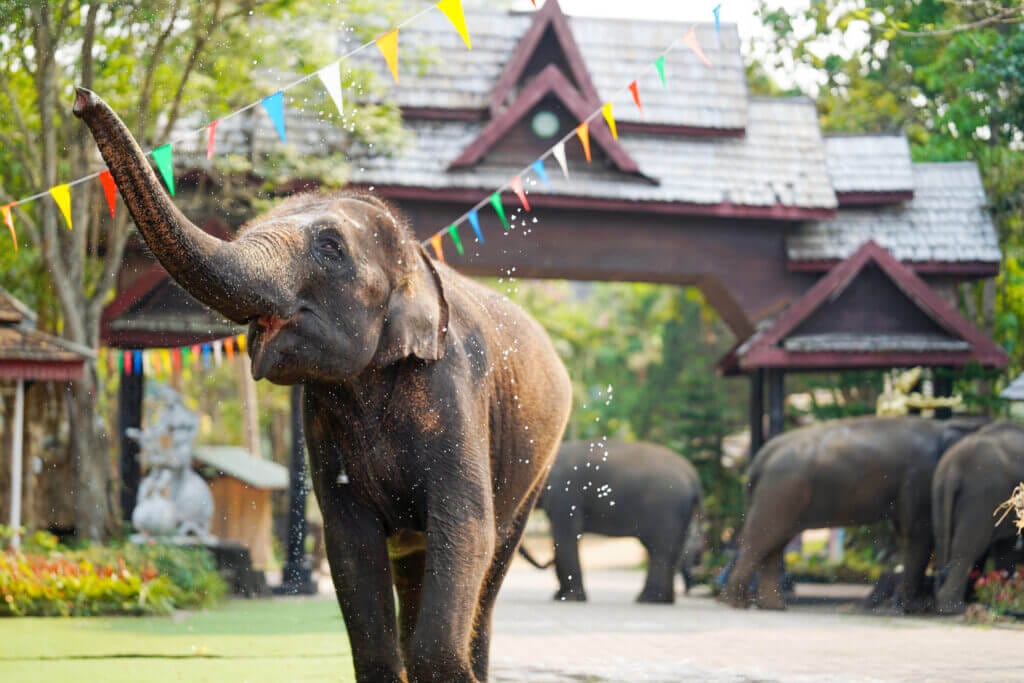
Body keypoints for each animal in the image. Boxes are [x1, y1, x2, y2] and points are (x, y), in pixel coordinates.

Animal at [74, 90, 573, 683]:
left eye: (331, 247)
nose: (81, 99)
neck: (414, 259)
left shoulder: (454, 388)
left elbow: (466, 524)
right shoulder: (320, 417)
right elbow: (349, 542)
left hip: (536, 465)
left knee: (492, 561)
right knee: (416, 565)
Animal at [520, 438, 704, 602]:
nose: (548, 562)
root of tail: (692, 475)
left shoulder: (565, 494)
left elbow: (566, 534)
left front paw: (569, 599)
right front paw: (560, 597)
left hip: (665, 507)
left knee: (660, 550)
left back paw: (647, 599)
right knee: (673, 550)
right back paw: (663, 600)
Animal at [720, 413, 983, 610]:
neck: (947, 425)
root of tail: (762, 455)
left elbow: (908, 533)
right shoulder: (920, 476)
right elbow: (919, 532)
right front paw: (915, 607)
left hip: (780, 495)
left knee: (773, 546)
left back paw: (773, 606)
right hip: (780, 492)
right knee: (762, 540)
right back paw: (738, 603)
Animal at [937, 419, 1024, 618]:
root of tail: (955, 465)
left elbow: (1006, 550)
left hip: (939, 491)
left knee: (944, 541)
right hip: (980, 495)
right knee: (967, 548)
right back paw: (954, 608)